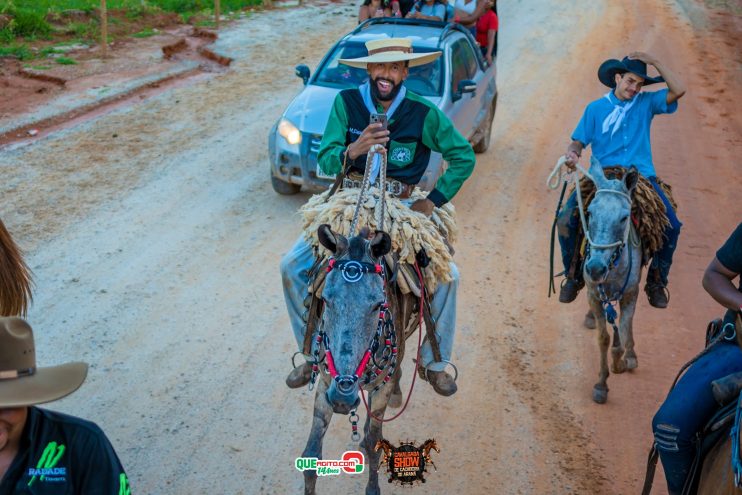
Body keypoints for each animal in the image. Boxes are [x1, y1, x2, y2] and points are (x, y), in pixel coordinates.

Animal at [300, 226, 418, 495]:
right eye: (327, 299)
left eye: (377, 304)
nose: (342, 399)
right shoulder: (325, 385)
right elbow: (311, 457)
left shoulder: (381, 388)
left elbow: (375, 445)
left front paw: (373, 487)